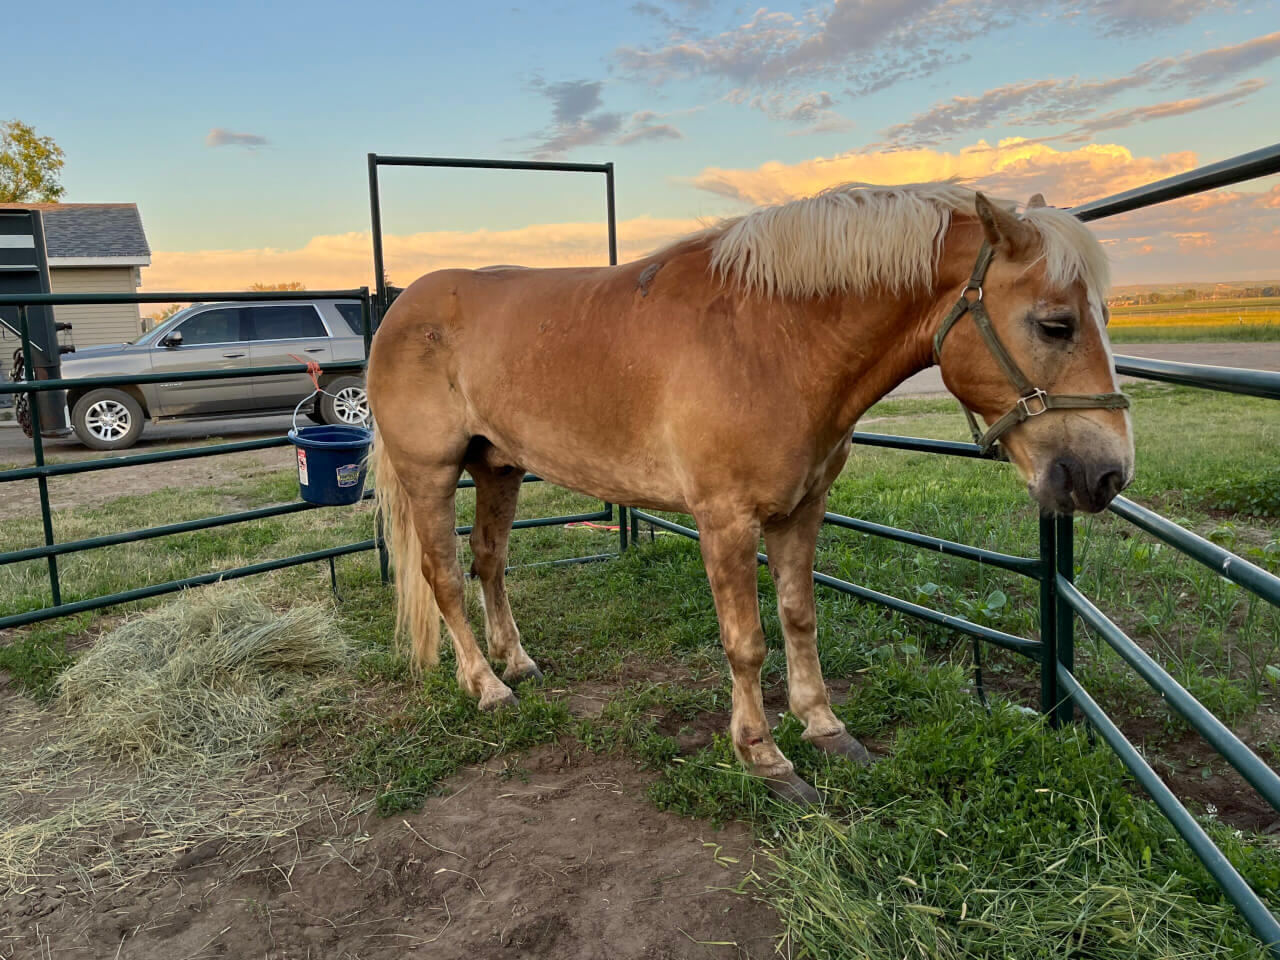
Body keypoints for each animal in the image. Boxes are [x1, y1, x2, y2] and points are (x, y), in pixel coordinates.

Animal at [367, 182, 1133, 803]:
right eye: (1055, 324)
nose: (1107, 474)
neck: (772, 339)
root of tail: (401, 308)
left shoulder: (802, 510)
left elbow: (799, 617)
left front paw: (824, 729)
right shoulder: (725, 523)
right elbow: (747, 644)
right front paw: (764, 758)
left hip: (499, 467)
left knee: (489, 561)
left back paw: (516, 662)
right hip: (431, 475)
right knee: (445, 576)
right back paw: (486, 686)